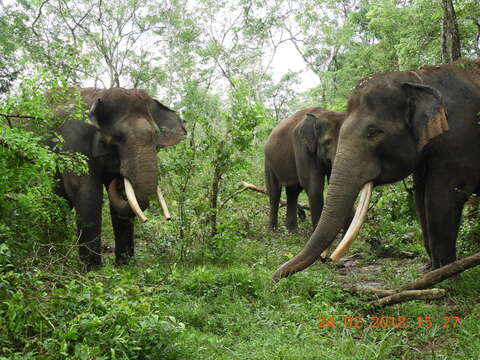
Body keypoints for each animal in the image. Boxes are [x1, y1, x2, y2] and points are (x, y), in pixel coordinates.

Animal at [53, 86, 186, 268]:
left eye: (155, 136)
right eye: (118, 138)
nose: (119, 179)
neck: (101, 94)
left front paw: (124, 266)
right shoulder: (73, 140)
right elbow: (87, 191)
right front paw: (92, 269)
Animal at [274, 59, 480, 280]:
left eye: (373, 132)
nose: (275, 276)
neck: (417, 78)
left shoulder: (459, 141)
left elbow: (442, 197)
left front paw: (445, 276)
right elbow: (421, 198)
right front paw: (431, 270)